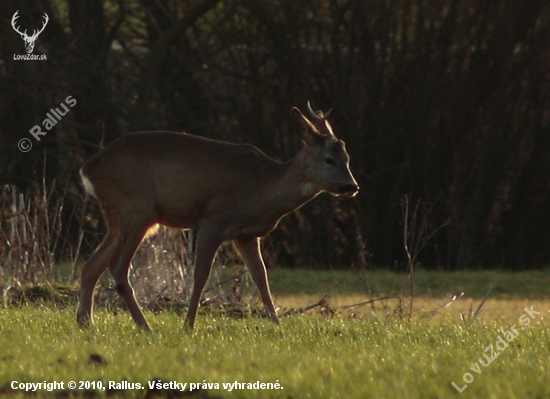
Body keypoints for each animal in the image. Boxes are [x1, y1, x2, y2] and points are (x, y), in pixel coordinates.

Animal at [78, 103, 362, 332]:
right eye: (329, 159)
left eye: (348, 158)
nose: (352, 186)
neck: (262, 189)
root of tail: (87, 169)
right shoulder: (211, 222)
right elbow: (201, 275)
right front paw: (188, 325)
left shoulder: (246, 235)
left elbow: (261, 277)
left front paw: (277, 324)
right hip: (137, 210)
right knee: (118, 268)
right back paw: (144, 326)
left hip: (119, 218)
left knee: (92, 266)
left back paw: (86, 322)